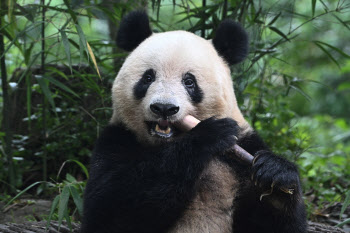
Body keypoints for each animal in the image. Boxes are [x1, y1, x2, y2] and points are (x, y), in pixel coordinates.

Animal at [81, 10, 306, 233]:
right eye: (148, 78)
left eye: (189, 82)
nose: (164, 108)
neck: (168, 143)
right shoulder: (117, 139)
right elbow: (110, 209)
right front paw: (209, 135)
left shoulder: (243, 150)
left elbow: (275, 223)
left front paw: (276, 177)